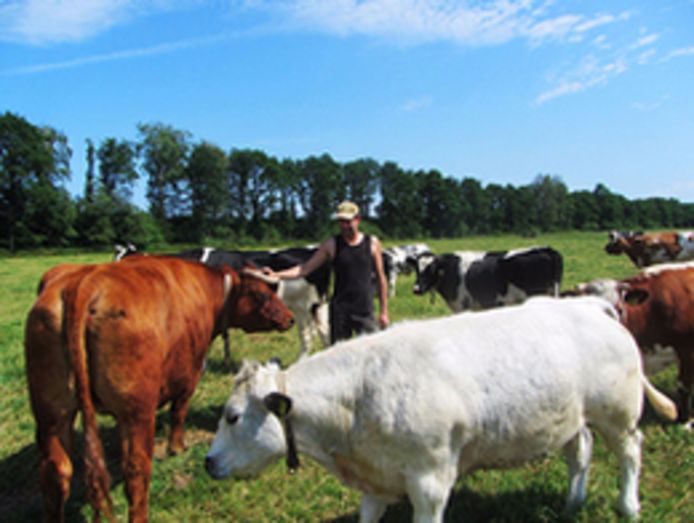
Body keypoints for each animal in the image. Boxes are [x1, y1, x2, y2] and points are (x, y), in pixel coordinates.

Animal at [24, 258, 294, 523]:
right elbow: (179, 412)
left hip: (52, 414)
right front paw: (177, 447)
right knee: (136, 471)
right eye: (262, 294)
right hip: (137, 411)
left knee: (56, 472)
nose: (290, 318)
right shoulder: (189, 375)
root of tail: (85, 282)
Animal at [204, 296, 676, 520]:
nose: (207, 463)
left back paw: (628, 507)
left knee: (630, 452)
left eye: (232, 417)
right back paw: (572, 505)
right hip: (570, 417)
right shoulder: (375, 480)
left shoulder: (430, 482)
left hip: (618, 413)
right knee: (580, 453)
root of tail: (591, 306)